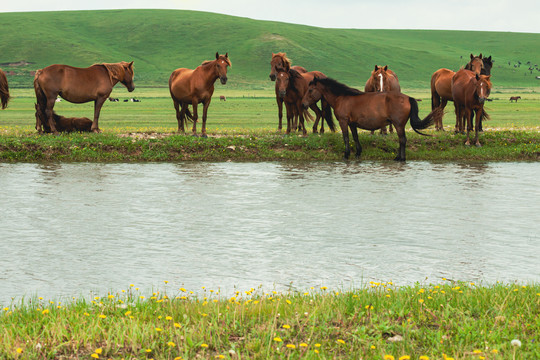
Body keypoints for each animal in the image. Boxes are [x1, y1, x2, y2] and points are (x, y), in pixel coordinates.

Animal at [302, 77, 440, 162]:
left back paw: (401, 158)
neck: (342, 98)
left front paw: (346, 154)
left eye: (310, 90)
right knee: (401, 140)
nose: (303, 104)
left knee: (402, 140)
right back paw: (397, 157)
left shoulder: (343, 121)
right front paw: (357, 153)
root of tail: (408, 98)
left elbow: (346, 138)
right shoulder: (352, 124)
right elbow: (355, 137)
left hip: (398, 124)